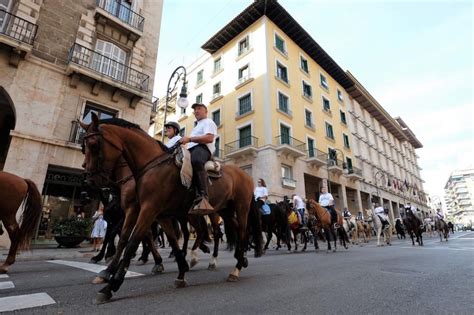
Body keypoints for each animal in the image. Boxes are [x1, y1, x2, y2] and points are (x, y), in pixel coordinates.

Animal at [79, 114, 262, 304]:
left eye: (93, 144)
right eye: (83, 147)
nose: (89, 180)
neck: (151, 166)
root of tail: (245, 174)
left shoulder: (148, 210)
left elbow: (133, 241)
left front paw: (110, 286)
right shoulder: (151, 213)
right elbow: (148, 239)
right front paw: (181, 272)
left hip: (238, 208)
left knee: (235, 232)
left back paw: (233, 267)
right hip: (223, 210)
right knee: (229, 231)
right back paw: (238, 258)